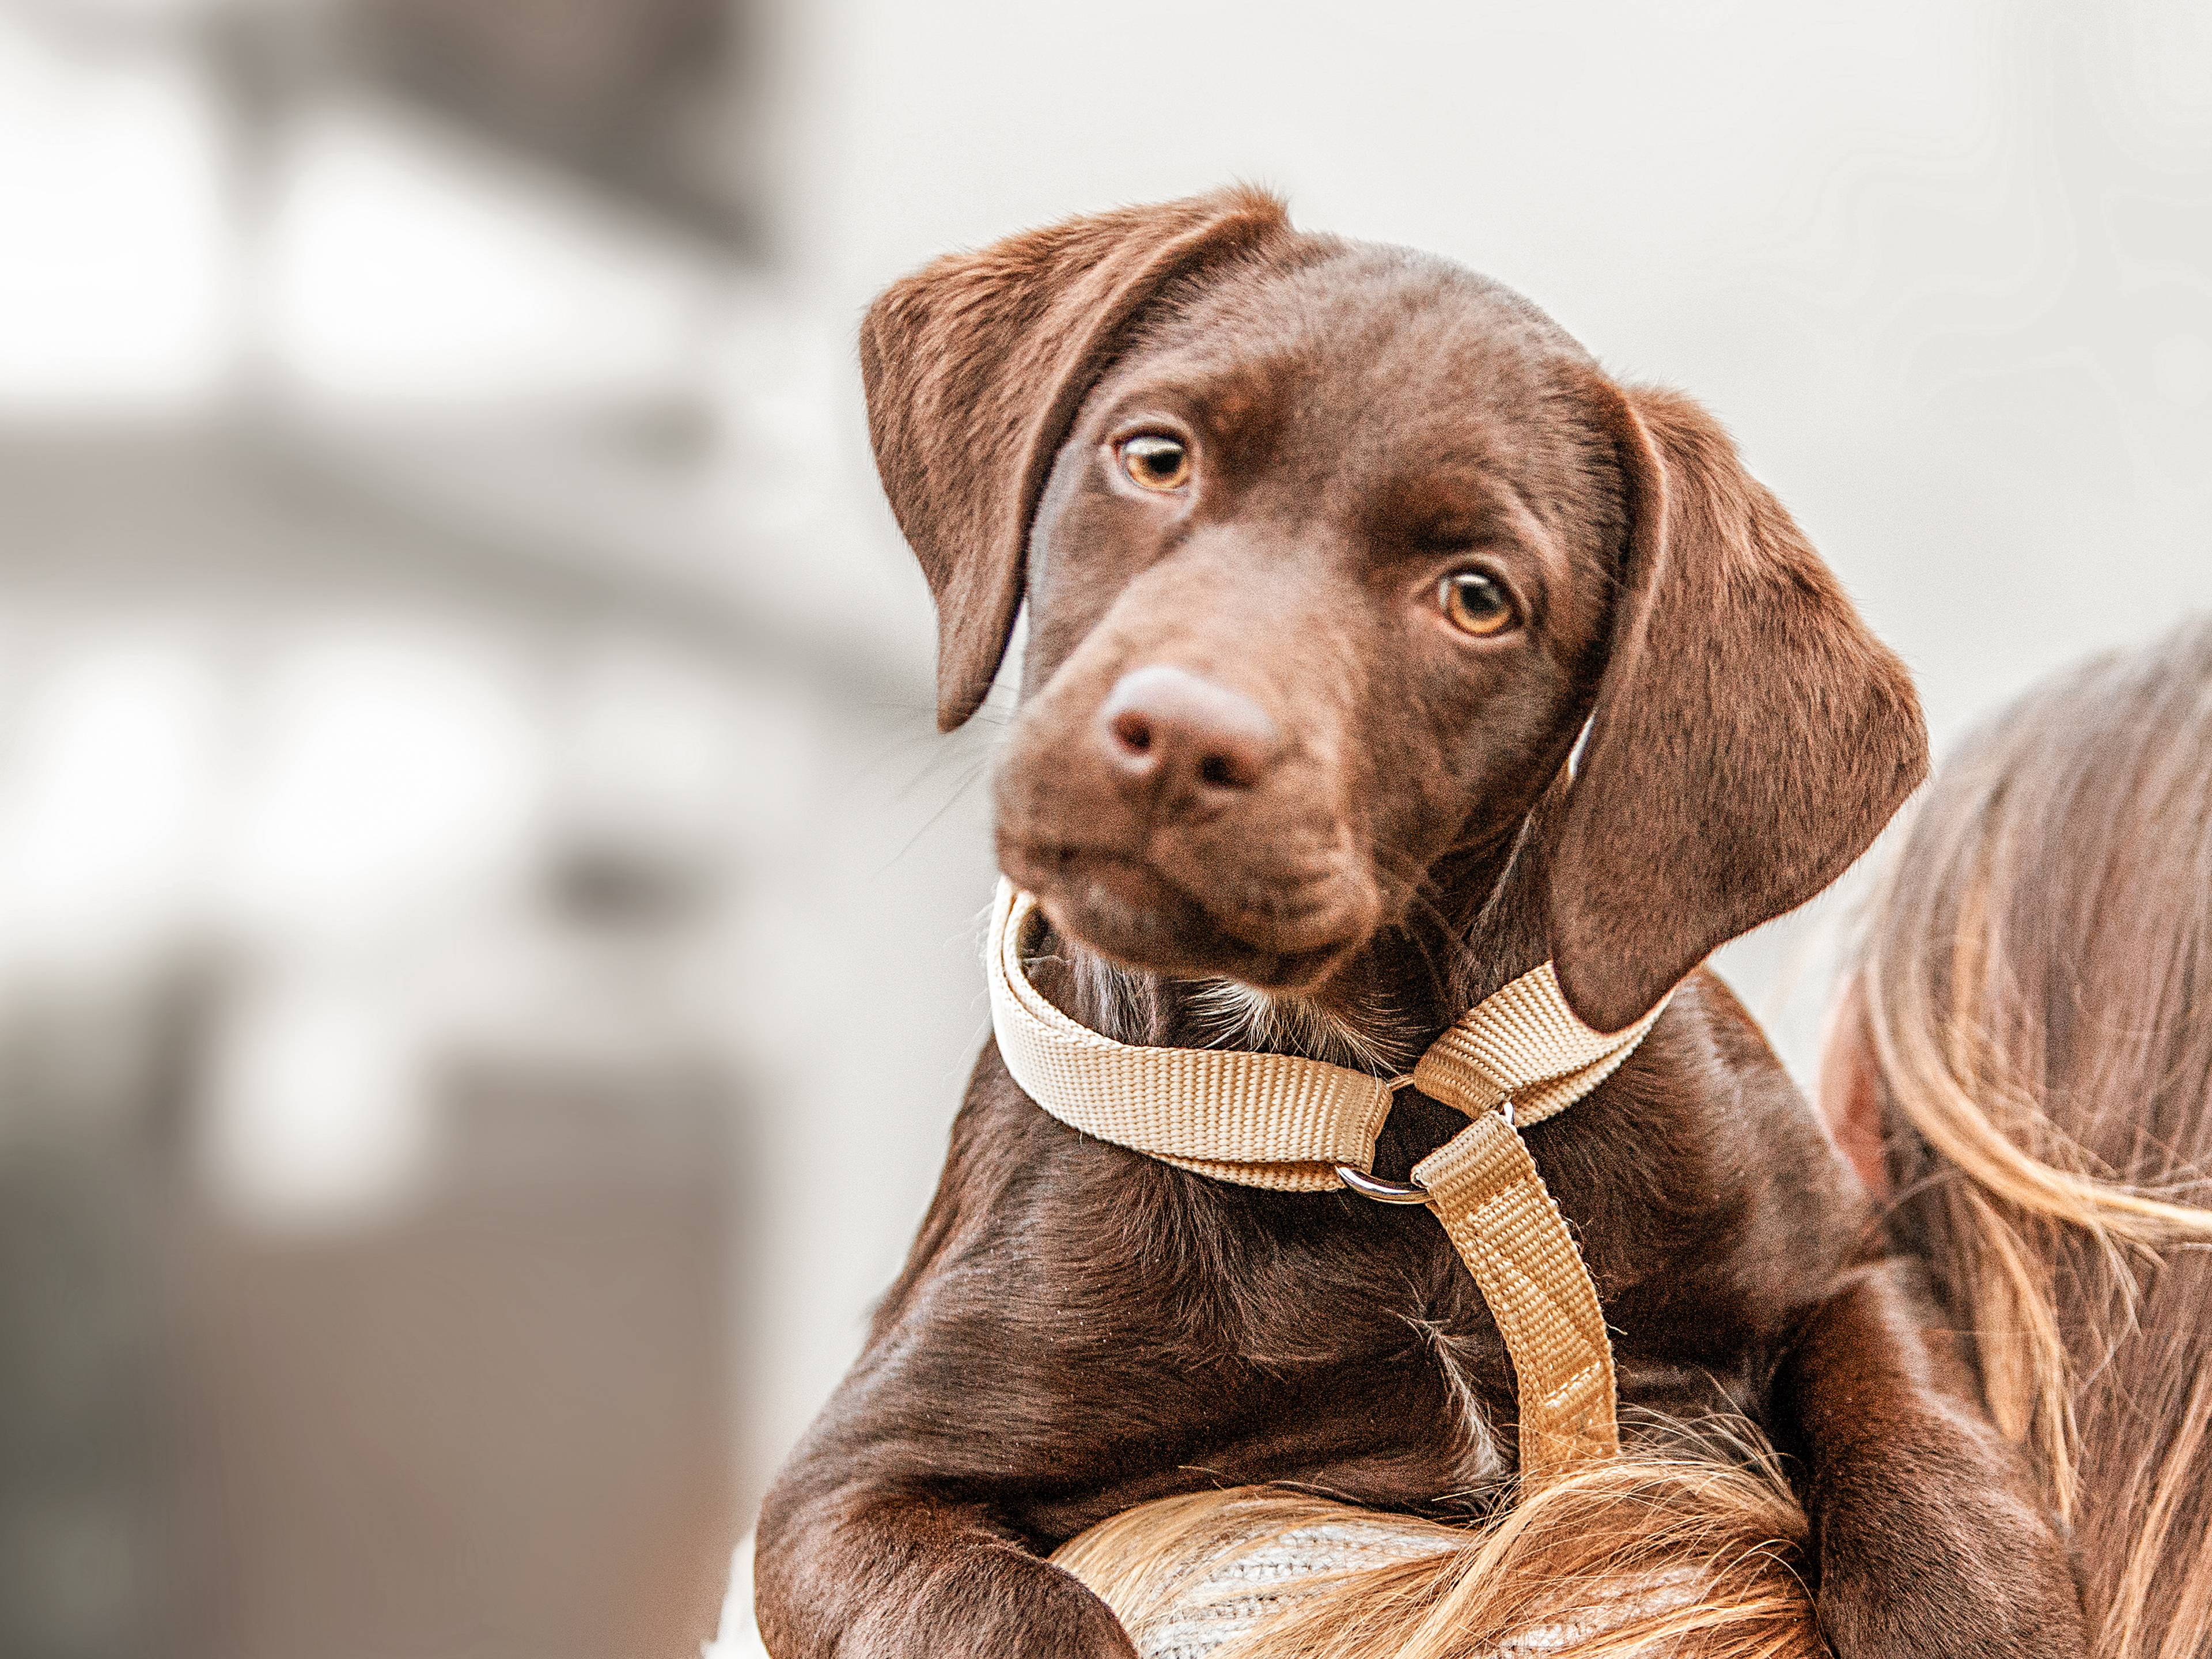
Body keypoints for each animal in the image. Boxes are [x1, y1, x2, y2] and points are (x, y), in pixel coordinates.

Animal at [752, 188, 2079, 1654]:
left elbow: (1914, 1429)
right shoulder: (857, 1477)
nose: (1180, 740)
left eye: (1477, 597)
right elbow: (1014, 1613)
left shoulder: (1844, 1257)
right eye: (1154, 459)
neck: (1369, 1103)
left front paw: (1972, 1608)